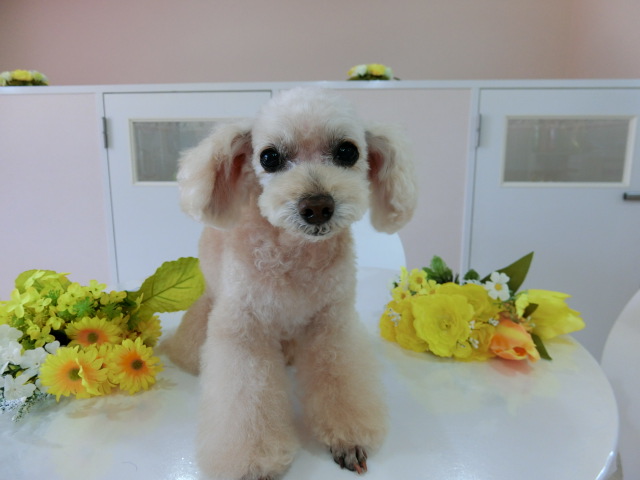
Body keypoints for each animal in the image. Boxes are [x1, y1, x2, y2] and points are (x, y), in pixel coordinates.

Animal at [163, 87, 417, 479]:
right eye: (269, 157)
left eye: (348, 151)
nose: (317, 206)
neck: (295, 255)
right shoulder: (244, 329)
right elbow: (247, 401)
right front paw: (253, 461)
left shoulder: (332, 322)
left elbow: (340, 379)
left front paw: (347, 440)